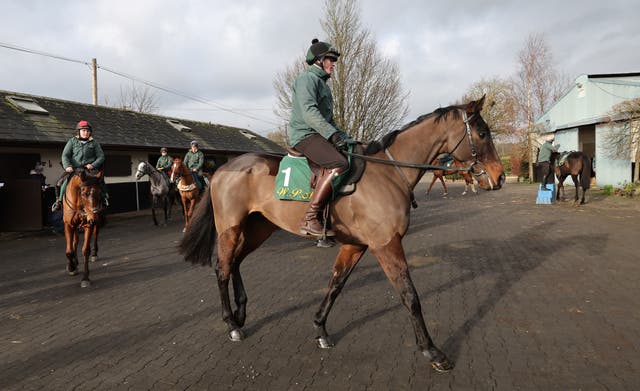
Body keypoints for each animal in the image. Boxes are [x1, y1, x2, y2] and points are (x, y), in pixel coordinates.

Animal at [176, 97, 504, 374]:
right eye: (482, 133)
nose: (499, 176)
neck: (388, 173)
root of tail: (224, 169)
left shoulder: (356, 246)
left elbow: (336, 284)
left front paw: (320, 328)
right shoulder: (386, 245)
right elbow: (409, 296)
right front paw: (432, 351)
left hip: (259, 228)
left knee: (236, 262)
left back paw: (241, 312)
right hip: (230, 228)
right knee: (222, 267)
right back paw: (232, 324)